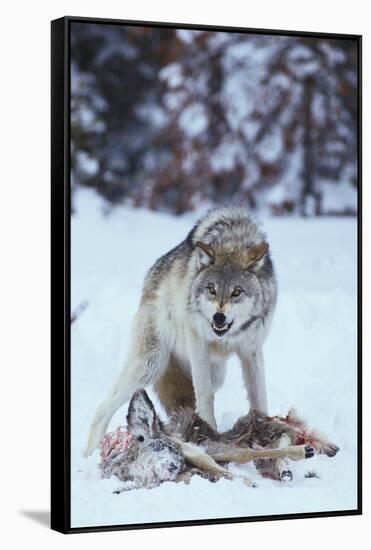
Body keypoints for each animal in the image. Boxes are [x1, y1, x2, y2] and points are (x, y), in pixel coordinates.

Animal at [85, 207, 280, 458]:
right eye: (211, 290)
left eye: (237, 292)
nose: (218, 317)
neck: (232, 239)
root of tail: (150, 277)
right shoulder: (197, 342)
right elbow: (205, 394)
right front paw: (209, 434)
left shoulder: (251, 350)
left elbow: (259, 396)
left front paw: (267, 429)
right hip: (150, 365)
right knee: (104, 405)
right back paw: (91, 452)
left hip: (214, 373)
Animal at [100, 390, 338, 494]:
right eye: (156, 446)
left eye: (162, 446)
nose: (174, 465)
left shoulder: (198, 452)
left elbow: (237, 462)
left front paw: (248, 481)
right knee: (273, 443)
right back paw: (288, 467)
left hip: (215, 444)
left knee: (264, 444)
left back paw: (307, 451)